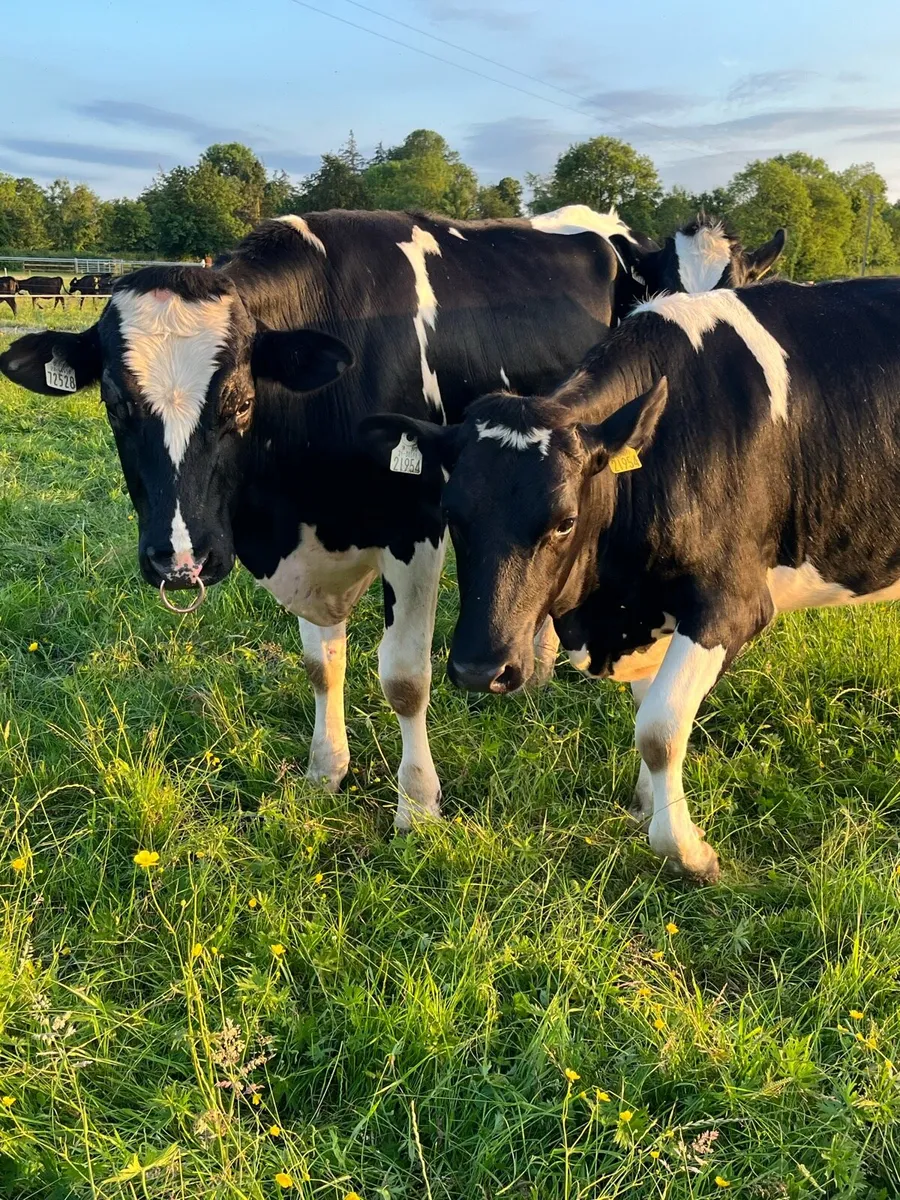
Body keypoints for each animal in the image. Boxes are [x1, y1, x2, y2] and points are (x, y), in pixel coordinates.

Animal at [0, 208, 784, 833]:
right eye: (114, 403)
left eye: (240, 401)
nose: (180, 561)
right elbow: (322, 666)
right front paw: (326, 770)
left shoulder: (418, 526)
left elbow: (405, 678)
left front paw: (417, 805)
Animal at [358, 277, 900, 880]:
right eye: (452, 514)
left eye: (565, 521)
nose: (480, 670)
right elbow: (651, 710)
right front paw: (650, 805)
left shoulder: (732, 603)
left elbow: (660, 728)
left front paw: (686, 850)